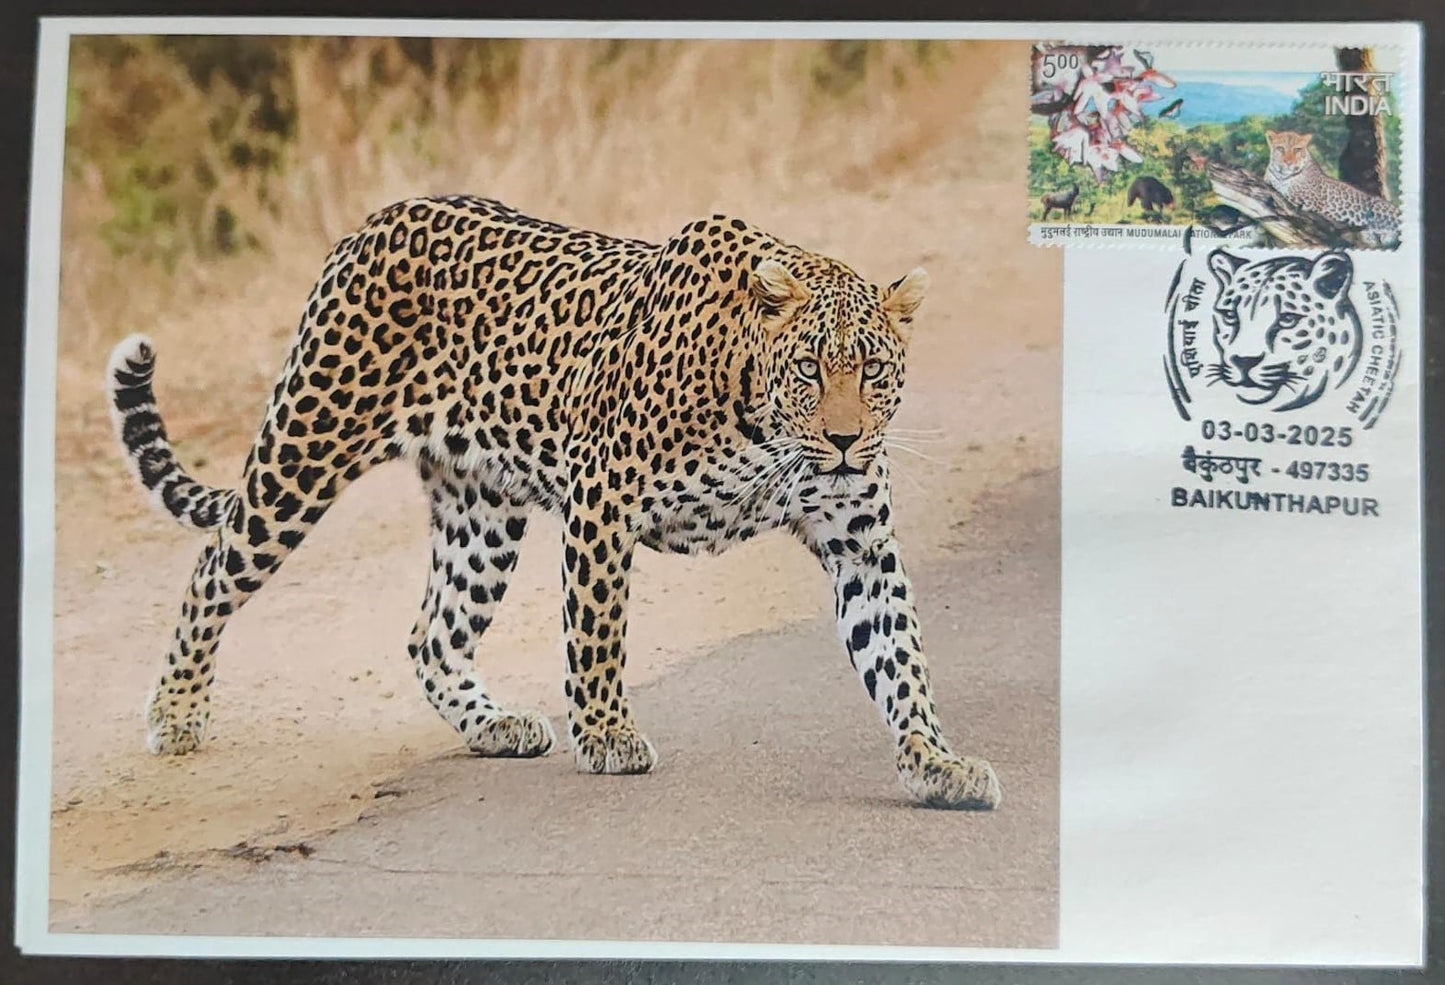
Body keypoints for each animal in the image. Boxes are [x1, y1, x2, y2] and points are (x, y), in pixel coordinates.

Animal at [106, 195, 1002, 811]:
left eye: (873, 369)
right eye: (812, 367)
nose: (847, 440)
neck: (760, 415)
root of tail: (372, 223)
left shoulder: (860, 541)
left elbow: (899, 657)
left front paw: (935, 761)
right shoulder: (603, 492)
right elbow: (599, 630)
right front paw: (607, 734)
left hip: (482, 513)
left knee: (432, 633)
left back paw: (494, 725)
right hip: (306, 449)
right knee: (214, 569)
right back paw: (175, 713)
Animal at [1263, 129, 1401, 248]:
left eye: (1297, 149)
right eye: (1280, 148)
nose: (1288, 162)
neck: (1282, 176)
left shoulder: (1309, 199)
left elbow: (1286, 192)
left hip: (1379, 207)